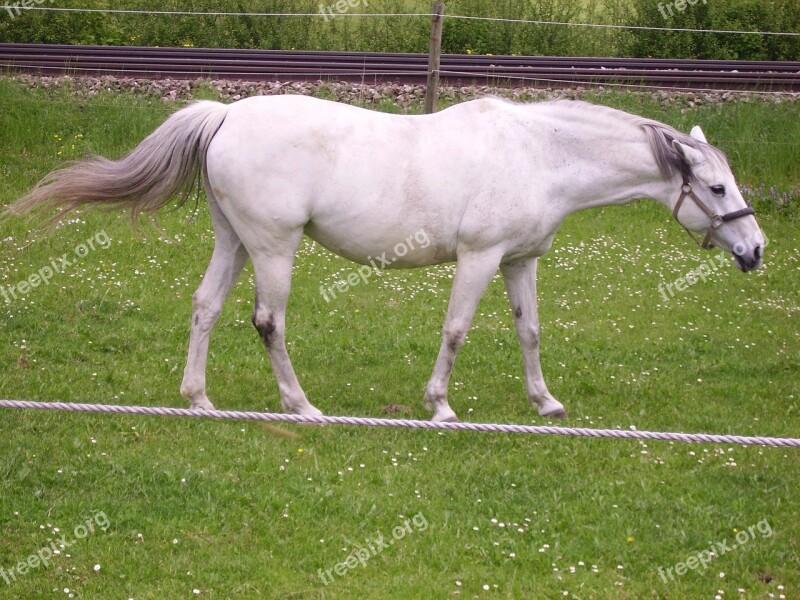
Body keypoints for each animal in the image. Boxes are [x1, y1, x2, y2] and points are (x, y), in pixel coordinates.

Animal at [10, 96, 764, 422]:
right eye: (716, 188)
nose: (755, 250)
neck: (538, 153)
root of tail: (225, 113)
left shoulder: (520, 262)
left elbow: (529, 332)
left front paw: (544, 401)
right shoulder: (479, 258)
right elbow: (456, 331)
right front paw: (440, 406)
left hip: (235, 241)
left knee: (205, 308)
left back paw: (199, 400)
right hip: (274, 248)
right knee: (267, 322)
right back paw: (301, 406)